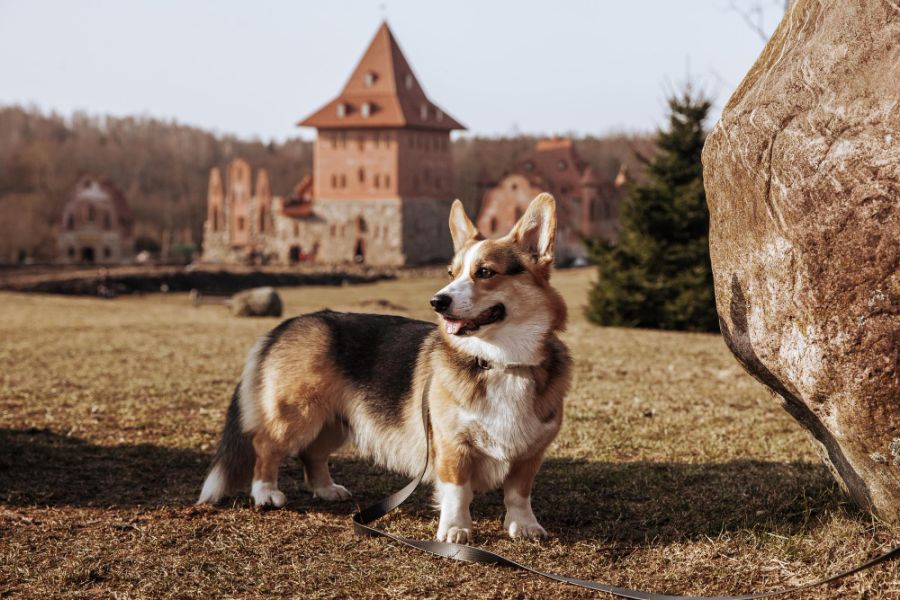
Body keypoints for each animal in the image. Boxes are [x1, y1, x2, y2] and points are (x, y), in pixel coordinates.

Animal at [201, 195, 572, 540]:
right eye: (451, 273)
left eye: (485, 272)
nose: (437, 302)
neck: (500, 361)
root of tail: (285, 325)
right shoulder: (452, 446)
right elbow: (458, 492)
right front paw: (455, 531)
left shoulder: (529, 453)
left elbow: (518, 494)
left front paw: (524, 526)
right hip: (297, 414)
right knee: (265, 445)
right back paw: (265, 492)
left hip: (334, 420)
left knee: (312, 454)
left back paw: (326, 489)